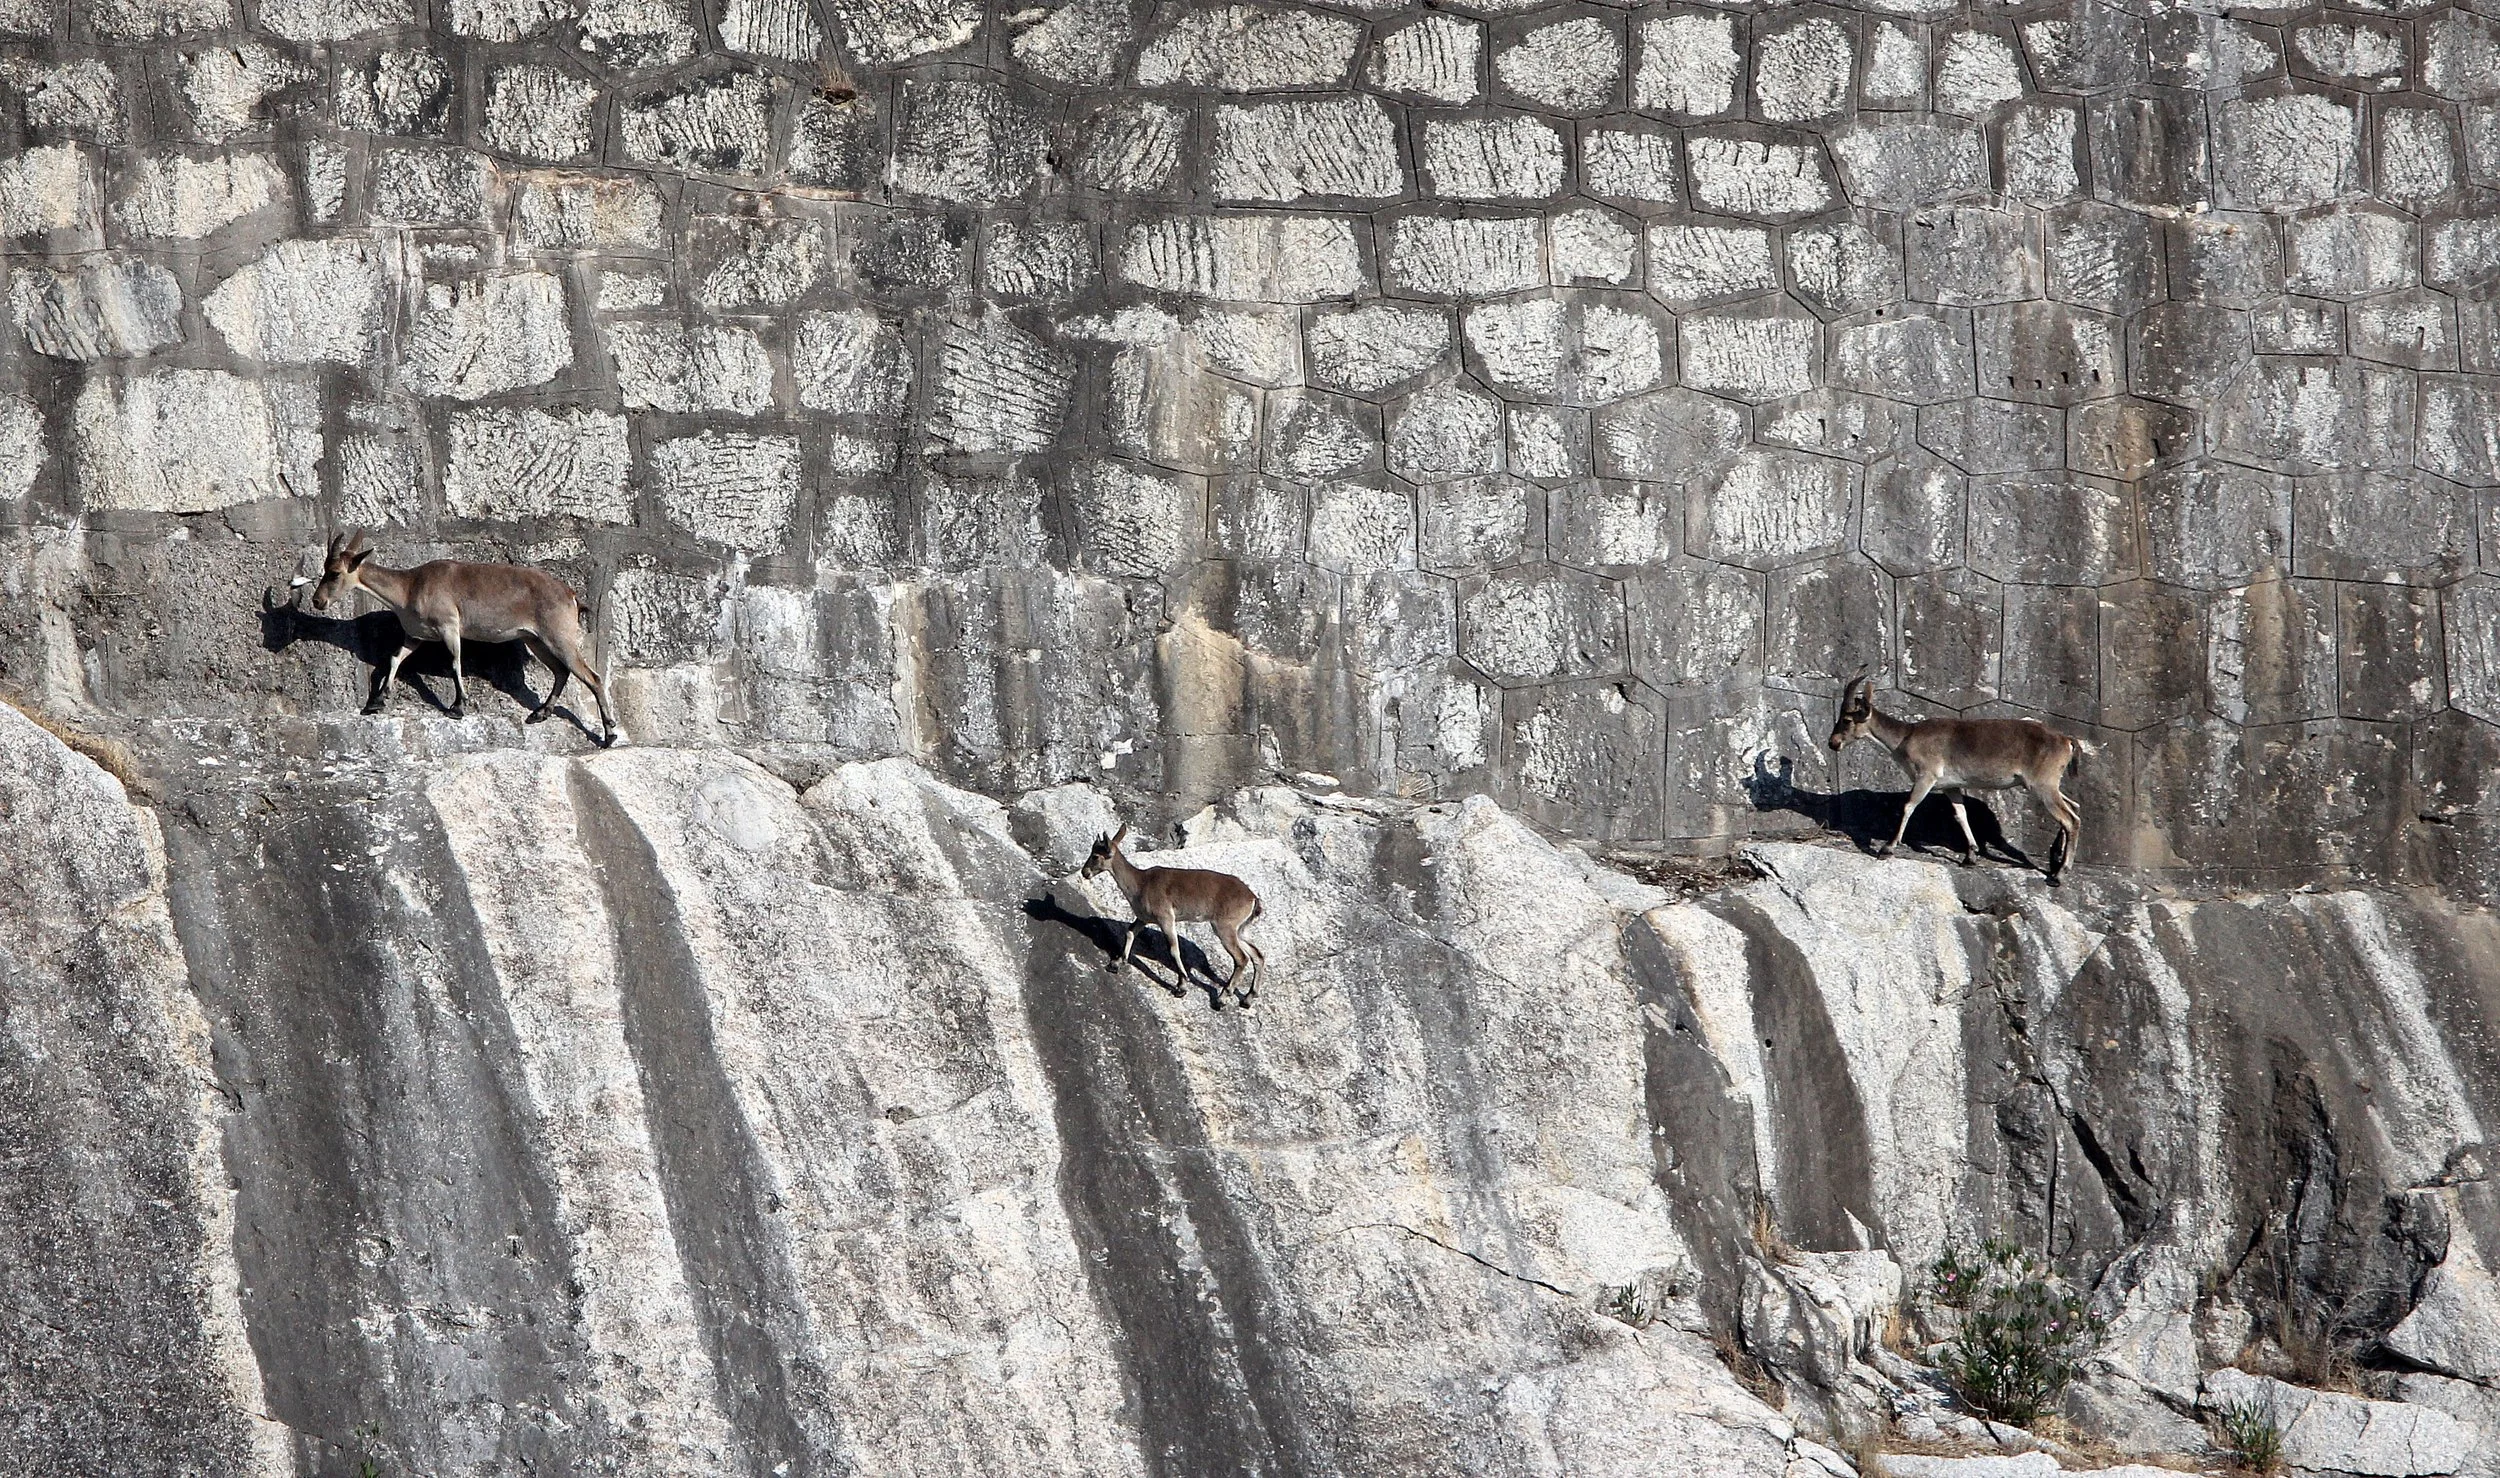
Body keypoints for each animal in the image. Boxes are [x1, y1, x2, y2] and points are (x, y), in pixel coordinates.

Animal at [299, 532, 616, 747]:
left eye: (334, 573)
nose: (317, 601)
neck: (410, 587)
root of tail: (572, 596)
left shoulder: (448, 627)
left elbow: (454, 663)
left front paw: (457, 707)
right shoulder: (416, 635)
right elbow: (395, 658)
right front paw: (376, 701)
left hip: (559, 637)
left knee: (592, 677)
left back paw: (610, 733)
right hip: (536, 640)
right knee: (562, 671)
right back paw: (540, 714)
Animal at [1080, 823, 1266, 1007]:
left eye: (1095, 855)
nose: (1084, 872)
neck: (1141, 884)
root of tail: (1252, 898)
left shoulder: (1166, 918)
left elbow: (1173, 949)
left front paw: (1181, 986)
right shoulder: (1144, 918)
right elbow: (1130, 931)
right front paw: (1116, 963)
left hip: (1225, 927)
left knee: (1241, 958)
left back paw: (1222, 998)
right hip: (1240, 929)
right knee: (1257, 955)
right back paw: (1248, 998)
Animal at [1827, 676, 2094, 885]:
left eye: (1847, 720)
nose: (1833, 743)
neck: (1906, 737)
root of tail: (2066, 740)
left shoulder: (1926, 776)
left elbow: (1909, 806)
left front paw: (1887, 849)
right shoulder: (1951, 786)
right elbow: (1960, 814)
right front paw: (1970, 857)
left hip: (2042, 785)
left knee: (2070, 819)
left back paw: (2059, 875)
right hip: (2050, 784)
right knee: (2074, 807)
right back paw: (2054, 859)